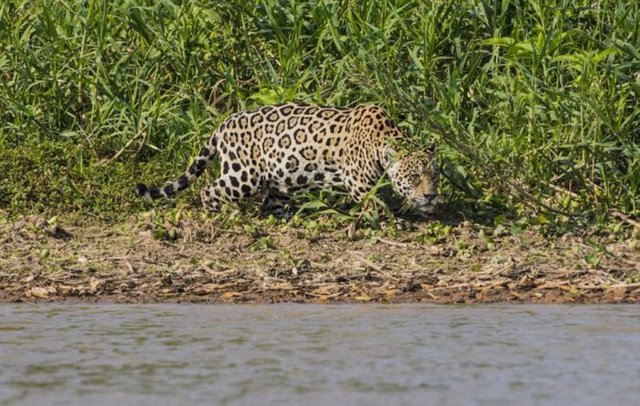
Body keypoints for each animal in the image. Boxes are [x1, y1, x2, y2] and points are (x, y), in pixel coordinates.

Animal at [135, 102, 441, 215]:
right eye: (414, 177)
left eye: (434, 176)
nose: (431, 196)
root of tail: (222, 125)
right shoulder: (359, 183)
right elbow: (377, 204)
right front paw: (395, 220)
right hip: (243, 175)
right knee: (209, 189)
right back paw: (219, 213)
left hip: (280, 181)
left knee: (271, 204)